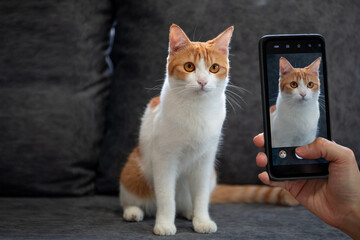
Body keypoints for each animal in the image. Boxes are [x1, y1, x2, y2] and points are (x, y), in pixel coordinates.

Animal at [119, 24, 296, 236]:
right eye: (189, 66)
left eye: (214, 68)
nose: (202, 81)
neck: (197, 109)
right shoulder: (164, 160)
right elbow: (166, 197)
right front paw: (164, 224)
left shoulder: (205, 161)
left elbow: (202, 197)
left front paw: (201, 221)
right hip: (134, 170)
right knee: (131, 199)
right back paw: (134, 212)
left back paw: (189, 212)